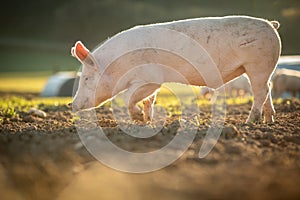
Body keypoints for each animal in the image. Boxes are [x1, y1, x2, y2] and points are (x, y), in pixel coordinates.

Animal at [70, 14, 282, 122]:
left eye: (86, 78)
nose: (72, 105)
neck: (117, 65)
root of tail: (271, 25)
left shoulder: (150, 78)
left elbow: (127, 96)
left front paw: (138, 117)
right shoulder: (150, 84)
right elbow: (149, 100)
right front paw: (147, 121)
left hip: (258, 65)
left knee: (261, 92)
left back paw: (250, 122)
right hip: (261, 69)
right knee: (268, 89)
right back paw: (268, 121)